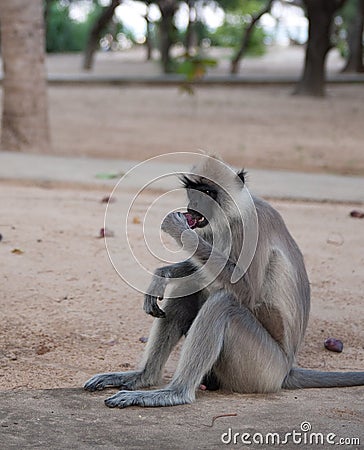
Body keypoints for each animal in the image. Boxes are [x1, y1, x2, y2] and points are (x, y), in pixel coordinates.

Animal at [84, 155, 364, 408]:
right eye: (193, 190)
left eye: (208, 192)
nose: (195, 205)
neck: (234, 214)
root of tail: (287, 370)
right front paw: (162, 274)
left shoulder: (250, 227)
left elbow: (246, 291)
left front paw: (178, 231)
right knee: (190, 289)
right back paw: (142, 378)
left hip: (263, 368)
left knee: (223, 304)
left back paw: (175, 393)